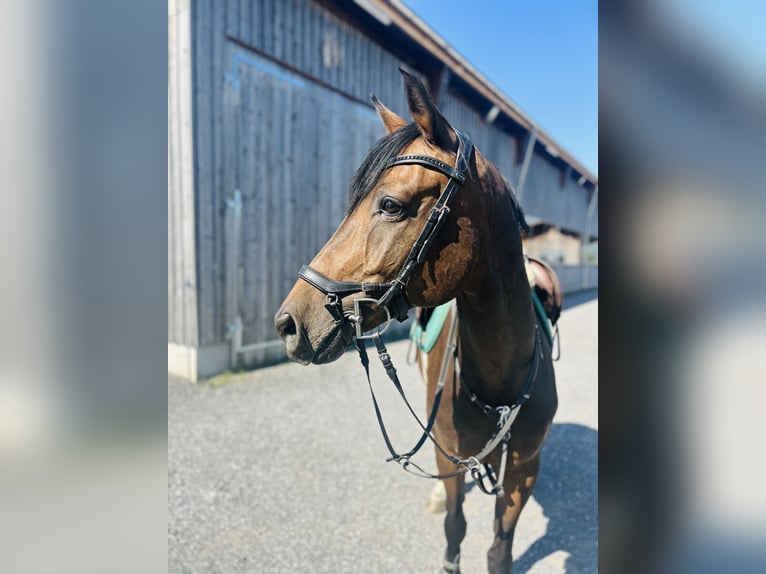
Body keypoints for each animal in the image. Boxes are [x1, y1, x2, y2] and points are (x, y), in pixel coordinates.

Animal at [275, 69, 557, 574]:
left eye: (390, 204)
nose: (289, 322)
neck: (499, 383)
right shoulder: (450, 457)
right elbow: (455, 526)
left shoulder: (524, 469)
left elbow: (500, 547)